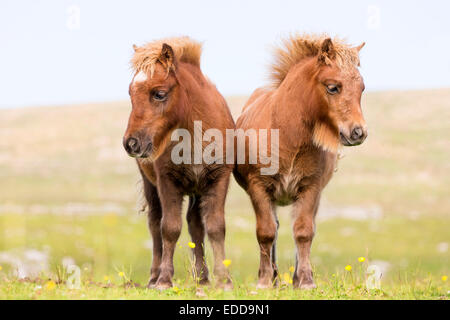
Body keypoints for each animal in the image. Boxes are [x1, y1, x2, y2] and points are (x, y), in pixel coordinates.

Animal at [124, 36, 236, 288]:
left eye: (159, 93)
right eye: (130, 93)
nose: (131, 143)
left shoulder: (218, 180)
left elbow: (215, 227)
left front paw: (223, 280)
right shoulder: (167, 182)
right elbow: (169, 228)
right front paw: (164, 280)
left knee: (195, 225)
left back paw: (202, 278)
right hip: (151, 185)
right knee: (155, 224)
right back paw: (154, 276)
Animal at [234, 33, 368, 288]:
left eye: (362, 88)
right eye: (333, 87)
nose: (358, 133)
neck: (287, 136)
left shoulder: (311, 188)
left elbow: (304, 231)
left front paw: (305, 281)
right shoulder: (259, 188)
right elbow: (266, 231)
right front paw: (264, 281)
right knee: (274, 228)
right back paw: (274, 277)